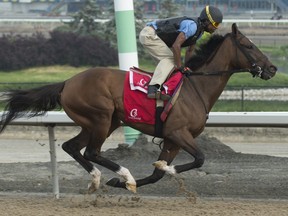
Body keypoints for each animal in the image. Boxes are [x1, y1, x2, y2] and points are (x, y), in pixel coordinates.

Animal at [0, 23, 276, 192]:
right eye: (249, 46)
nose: (272, 68)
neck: (196, 87)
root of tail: (67, 82)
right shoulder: (177, 133)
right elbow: (198, 159)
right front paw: (157, 169)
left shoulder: (172, 140)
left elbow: (157, 174)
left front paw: (127, 180)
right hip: (101, 117)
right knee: (91, 151)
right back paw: (125, 174)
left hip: (102, 121)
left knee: (72, 147)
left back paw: (98, 179)